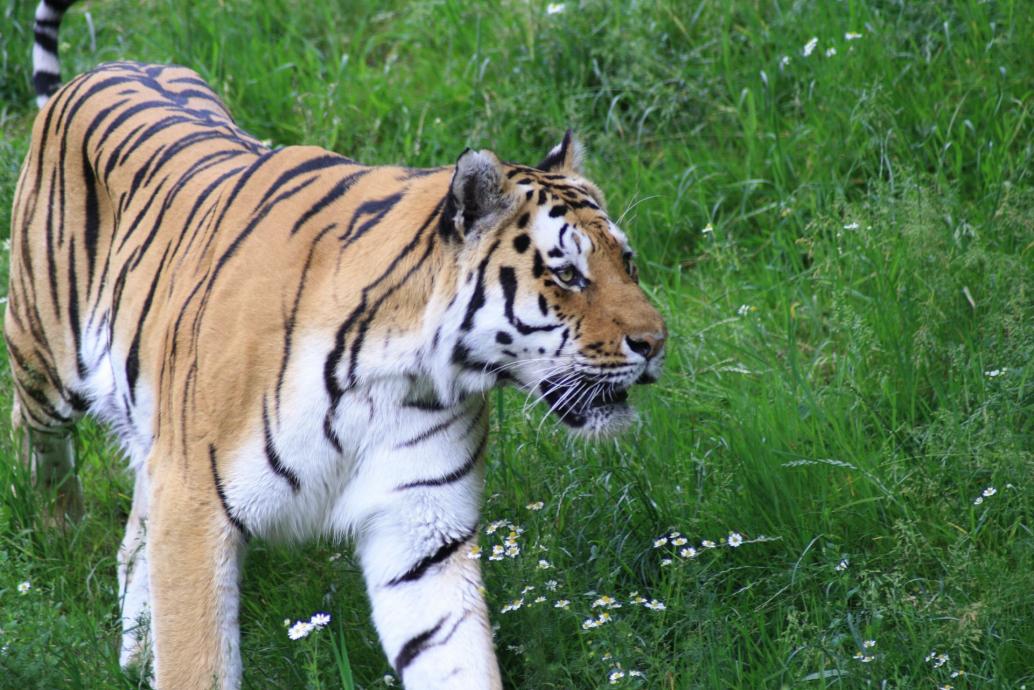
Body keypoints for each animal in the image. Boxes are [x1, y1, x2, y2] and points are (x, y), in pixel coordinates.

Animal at [9, 4, 666, 689]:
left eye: (627, 262)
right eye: (567, 274)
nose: (656, 343)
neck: (396, 372)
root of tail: (103, 69)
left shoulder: (420, 526)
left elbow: (453, 653)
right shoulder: (193, 502)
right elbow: (199, 658)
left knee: (135, 531)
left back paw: (138, 652)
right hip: (44, 359)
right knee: (37, 438)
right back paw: (59, 534)